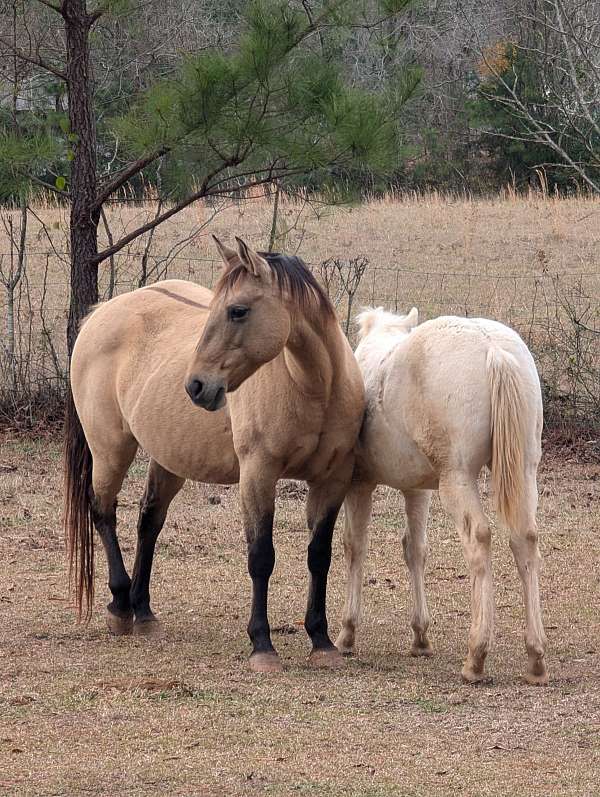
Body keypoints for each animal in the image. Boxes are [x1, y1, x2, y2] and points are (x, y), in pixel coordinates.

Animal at [63, 238, 364, 672]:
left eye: (237, 310)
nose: (195, 385)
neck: (315, 389)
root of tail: (100, 313)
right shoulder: (258, 476)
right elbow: (261, 557)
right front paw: (262, 645)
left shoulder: (332, 480)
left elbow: (319, 557)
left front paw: (321, 642)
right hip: (111, 450)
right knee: (103, 513)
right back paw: (120, 607)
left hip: (167, 459)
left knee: (148, 523)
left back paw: (143, 612)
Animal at [338, 306, 548, 684]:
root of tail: (492, 348)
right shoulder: (418, 490)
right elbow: (415, 550)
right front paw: (420, 636)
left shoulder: (358, 485)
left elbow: (355, 548)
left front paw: (347, 633)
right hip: (524, 472)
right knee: (524, 540)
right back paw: (535, 657)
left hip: (458, 480)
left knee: (479, 538)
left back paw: (476, 657)